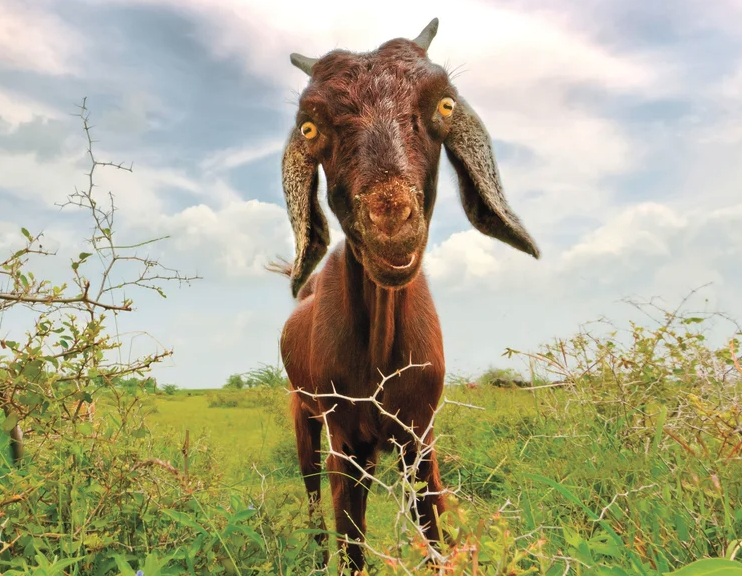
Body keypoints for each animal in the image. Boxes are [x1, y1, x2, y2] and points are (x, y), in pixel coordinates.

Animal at [273, 18, 539, 573]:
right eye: (309, 129)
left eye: (445, 105)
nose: (391, 224)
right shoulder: (345, 442)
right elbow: (351, 546)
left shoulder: (420, 435)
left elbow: (436, 533)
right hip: (303, 413)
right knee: (310, 494)